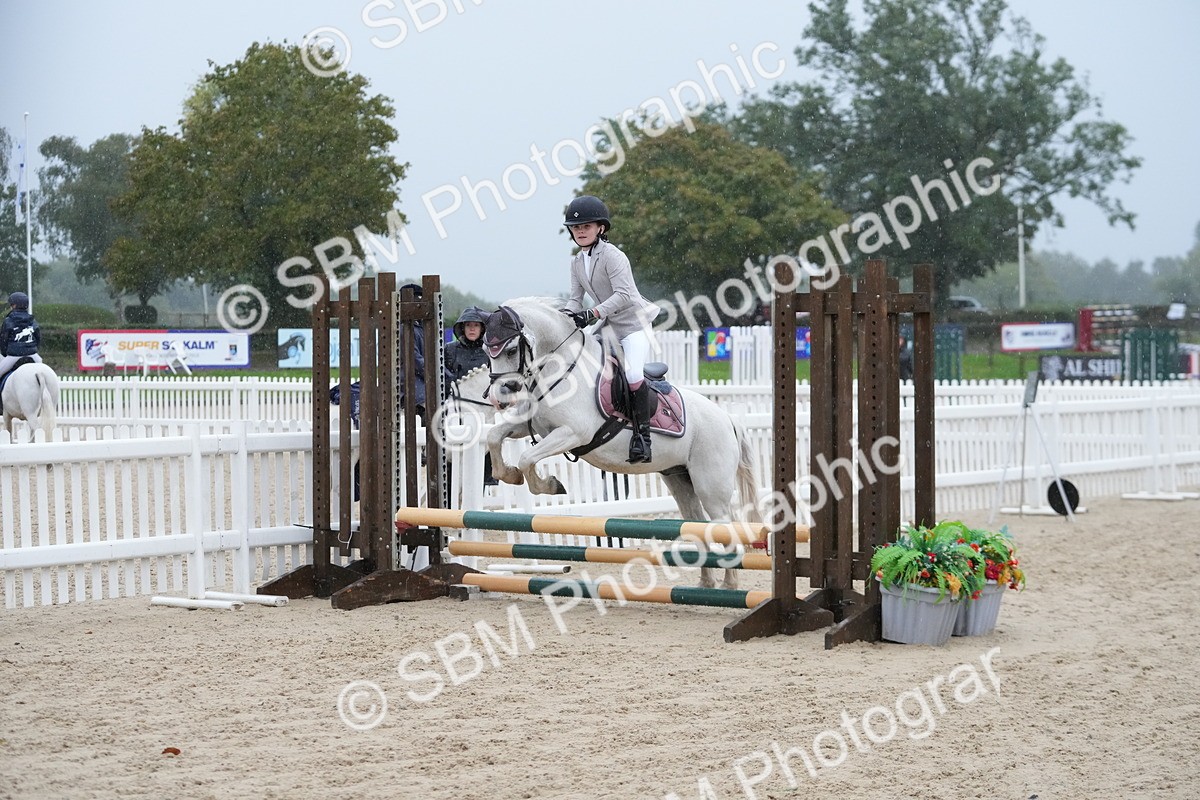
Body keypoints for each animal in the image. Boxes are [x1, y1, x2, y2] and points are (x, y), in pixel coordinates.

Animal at [480, 297, 761, 589]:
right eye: (486, 350)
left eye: (511, 350)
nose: (499, 398)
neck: (561, 369)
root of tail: (727, 418)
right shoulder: (532, 425)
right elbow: (494, 437)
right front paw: (509, 474)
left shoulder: (572, 433)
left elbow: (527, 459)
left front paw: (551, 485)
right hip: (680, 480)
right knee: (699, 527)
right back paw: (705, 585)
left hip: (711, 488)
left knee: (726, 530)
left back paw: (729, 586)